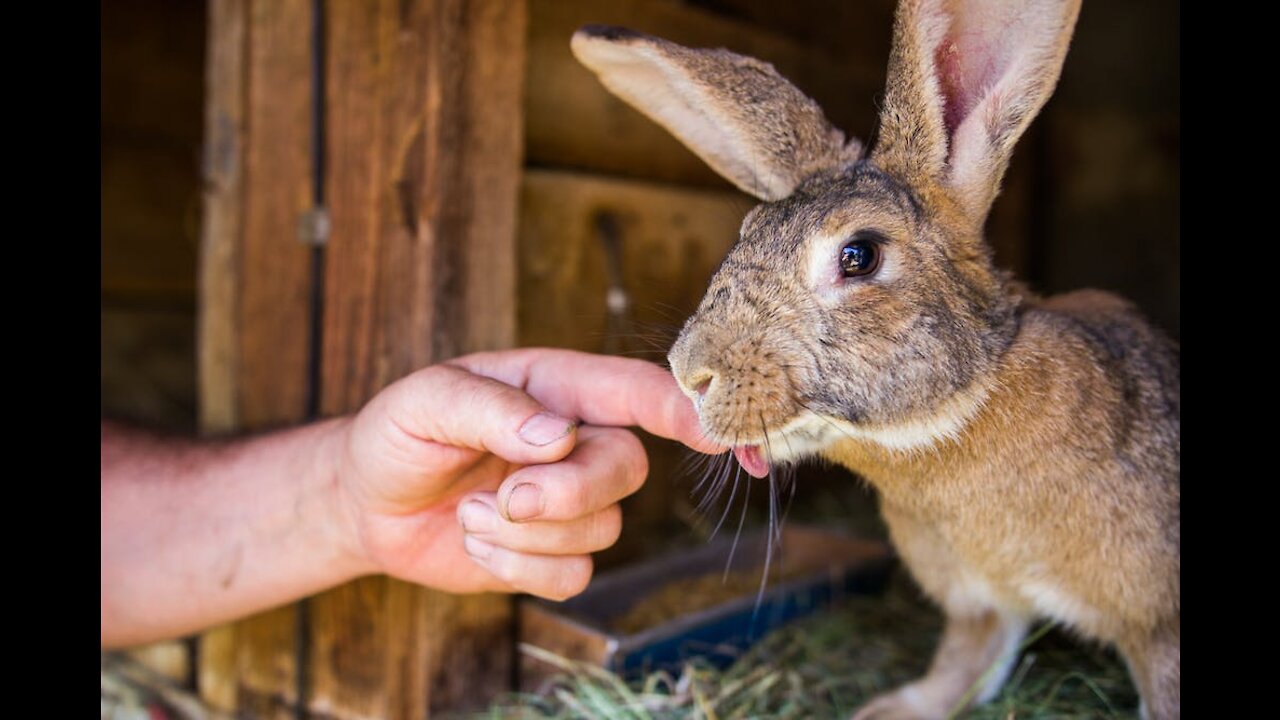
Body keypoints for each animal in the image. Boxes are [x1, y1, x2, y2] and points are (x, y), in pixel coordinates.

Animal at [570, 1, 1177, 717]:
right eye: (745, 234)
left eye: (859, 255)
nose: (691, 373)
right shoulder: (979, 602)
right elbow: (965, 658)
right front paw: (891, 709)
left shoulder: (1160, 628)